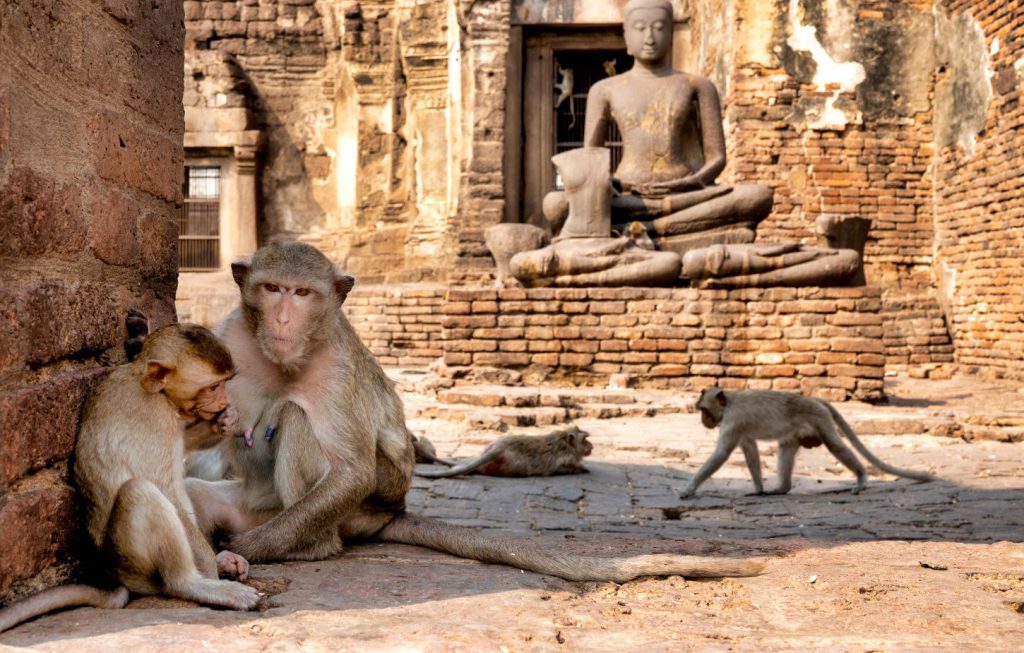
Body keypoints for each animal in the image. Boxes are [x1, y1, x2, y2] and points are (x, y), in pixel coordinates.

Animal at [0, 325, 259, 633]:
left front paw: (226, 420)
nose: (223, 401)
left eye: (223, 384)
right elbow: (165, 488)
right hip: (132, 559)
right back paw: (193, 584)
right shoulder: (156, 417)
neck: (148, 384)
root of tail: (118, 574)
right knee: (140, 491)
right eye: (212, 387)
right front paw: (211, 572)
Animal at [415, 425, 593, 479]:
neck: (564, 442)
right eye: (585, 439)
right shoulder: (566, 459)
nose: (591, 446)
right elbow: (564, 468)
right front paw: (582, 468)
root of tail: (499, 448)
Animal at [680, 388, 937, 498]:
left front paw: (689, 489)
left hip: (819, 419)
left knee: (835, 445)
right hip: (798, 432)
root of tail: (814, 398)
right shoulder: (739, 429)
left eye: (704, 410)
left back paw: (862, 478)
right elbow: (749, 448)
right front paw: (758, 489)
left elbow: (722, 453)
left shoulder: (733, 422)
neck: (730, 402)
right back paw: (781, 488)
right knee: (786, 448)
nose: (703, 421)